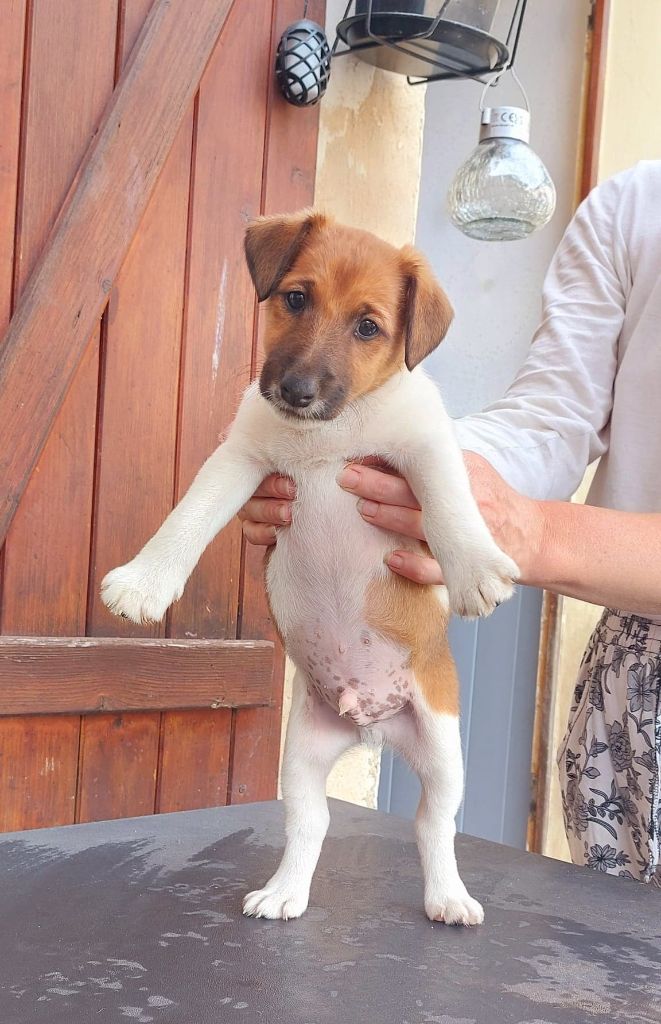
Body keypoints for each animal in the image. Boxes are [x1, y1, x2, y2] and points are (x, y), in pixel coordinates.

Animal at [102, 209, 517, 929]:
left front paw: (473, 568)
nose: (295, 392)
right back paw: (284, 893)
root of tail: (371, 725)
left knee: (431, 824)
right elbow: (187, 518)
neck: (329, 434)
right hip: (300, 756)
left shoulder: (424, 448)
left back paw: (448, 897)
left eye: (368, 327)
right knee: (312, 823)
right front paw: (144, 582)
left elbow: (449, 503)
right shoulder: (239, 458)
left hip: (441, 749)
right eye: (295, 298)